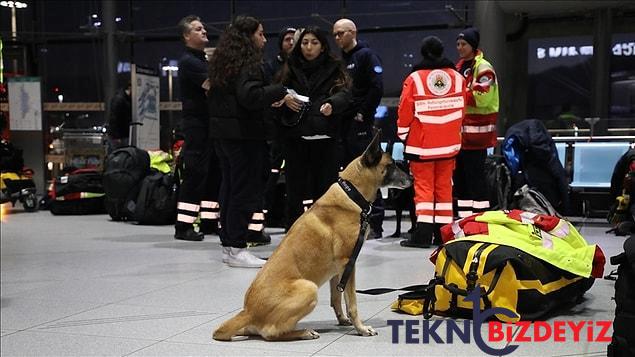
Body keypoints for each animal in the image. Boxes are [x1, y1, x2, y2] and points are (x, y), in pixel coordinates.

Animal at [214, 132, 412, 340]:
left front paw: (342, 320)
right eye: (391, 165)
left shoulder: (339, 270)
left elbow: (336, 297)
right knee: (270, 333)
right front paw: (361, 328)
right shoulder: (348, 263)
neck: (352, 194)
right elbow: (352, 303)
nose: (412, 179)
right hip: (309, 288)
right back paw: (303, 332)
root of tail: (248, 312)